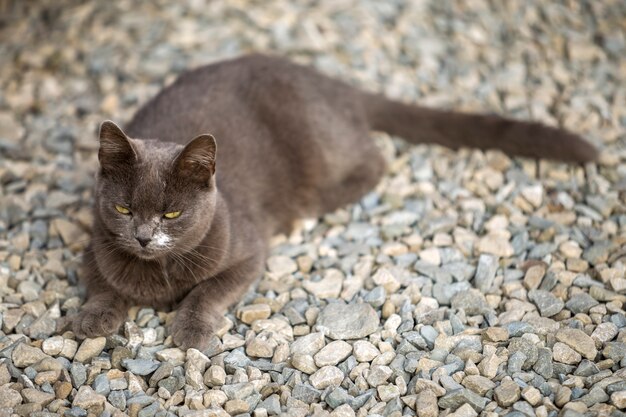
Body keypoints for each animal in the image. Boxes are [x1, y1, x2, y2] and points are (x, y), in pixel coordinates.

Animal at [73, 53, 596, 350]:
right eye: (123, 209)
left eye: (172, 213)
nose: (143, 237)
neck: (159, 276)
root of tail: (329, 82)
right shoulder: (94, 244)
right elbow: (100, 282)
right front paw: (95, 317)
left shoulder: (247, 251)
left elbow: (208, 291)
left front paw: (190, 330)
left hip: (320, 145)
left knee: (376, 160)